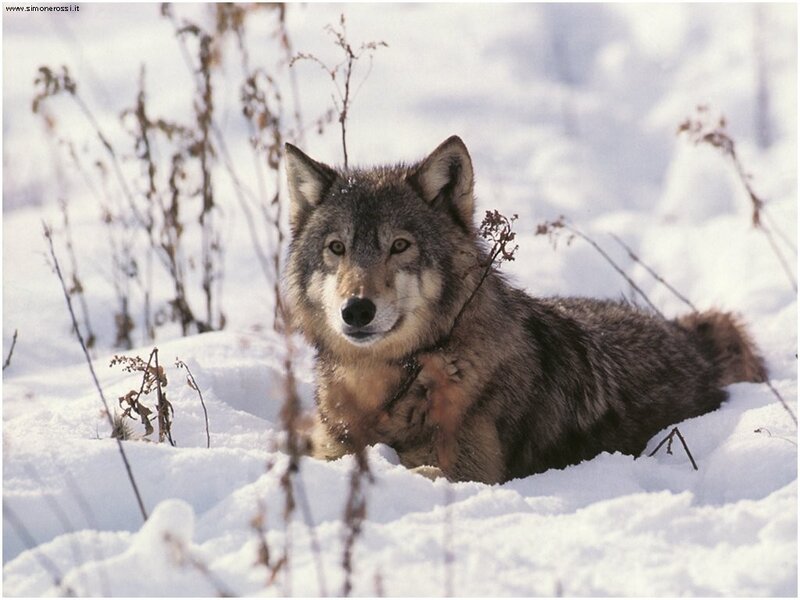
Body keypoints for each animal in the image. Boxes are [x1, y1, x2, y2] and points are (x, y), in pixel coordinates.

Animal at [283, 135, 767, 484]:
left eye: (400, 245)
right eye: (337, 248)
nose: (356, 310)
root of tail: (685, 336)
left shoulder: (471, 474)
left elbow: (421, 471)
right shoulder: (331, 446)